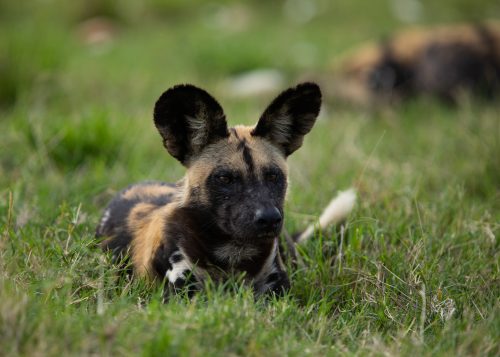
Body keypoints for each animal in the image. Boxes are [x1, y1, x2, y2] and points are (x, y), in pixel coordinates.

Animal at [96, 82, 356, 298]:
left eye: (273, 176)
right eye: (225, 178)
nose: (269, 219)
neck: (234, 253)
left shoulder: (278, 292)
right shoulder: (184, 296)